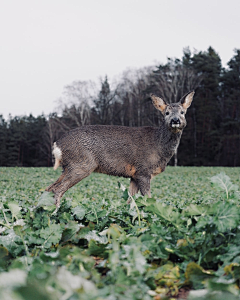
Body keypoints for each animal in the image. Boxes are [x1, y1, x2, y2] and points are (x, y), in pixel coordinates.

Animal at [45, 91, 195, 207]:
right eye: (167, 113)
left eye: (182, 112)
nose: (175, 120)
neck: (159, 146)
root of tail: (58, 144)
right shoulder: (143, 170)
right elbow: (148, 198)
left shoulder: (134, 175)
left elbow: (131, 200)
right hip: (81, 164)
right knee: (57, 190)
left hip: (68, 167)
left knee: (49, 188)